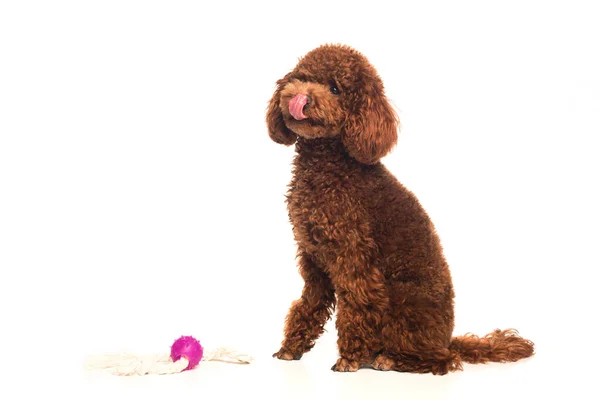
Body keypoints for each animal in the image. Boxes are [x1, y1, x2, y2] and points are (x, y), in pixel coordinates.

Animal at [268, 42, 536, 374]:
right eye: (302, 77)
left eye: (335, 88)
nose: (299, 97)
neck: (328, 166)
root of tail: (447, 338)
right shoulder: (314, 259)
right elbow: (309, 303)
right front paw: (291, 347)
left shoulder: (354, 257)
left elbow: (357, 304)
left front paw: (350, 357)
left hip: (404, 304)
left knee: (443, 360)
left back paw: (389, 358)